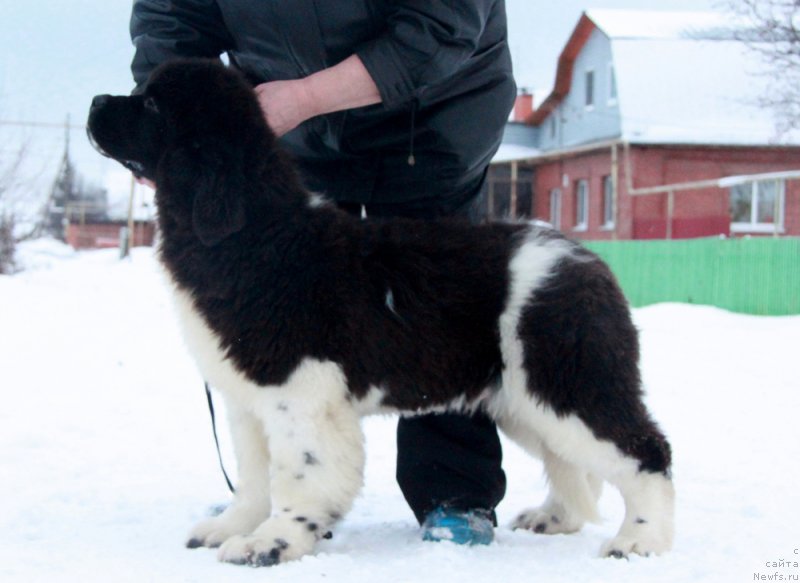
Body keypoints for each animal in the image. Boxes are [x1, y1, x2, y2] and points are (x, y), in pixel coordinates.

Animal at [87, 61, 676, 568]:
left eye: (152, 104)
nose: (95, 101)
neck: (258, 235)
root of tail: (588, 261)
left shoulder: (300, 391)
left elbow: (298, 473)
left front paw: (273, 543)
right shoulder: (247, 398)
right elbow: (253, 473)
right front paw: (234, 526)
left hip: (567, 382)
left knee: (645, 450)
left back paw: (640, 540)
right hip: (523, 398)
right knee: (574, 462)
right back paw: (556, 518)